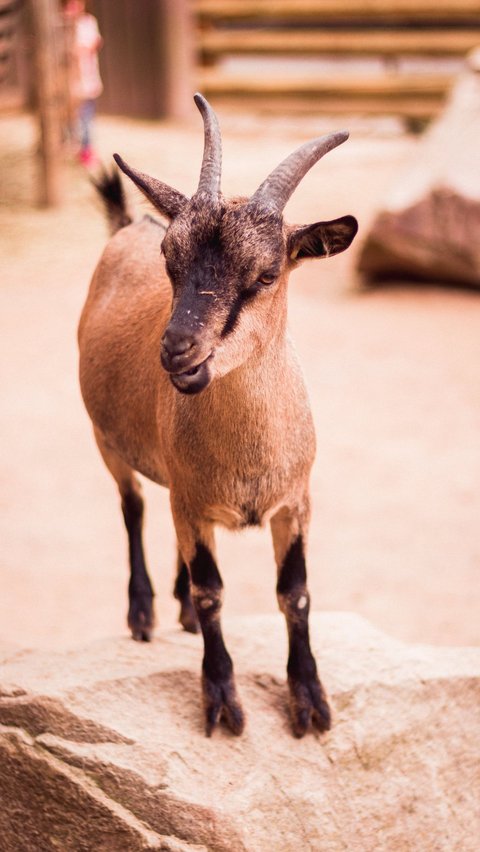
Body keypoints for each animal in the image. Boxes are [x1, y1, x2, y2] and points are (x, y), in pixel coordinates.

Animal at [79, 91, 356, 732]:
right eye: (169, 260)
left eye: (267, 273)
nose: (178, 351)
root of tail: (128, 224)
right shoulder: (189, 498)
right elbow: (213, 592)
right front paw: (223, 701)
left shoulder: (295, 502)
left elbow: (295, 592)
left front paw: (310, 700)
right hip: (107, 442)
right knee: (133, 508)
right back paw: (144, 613)